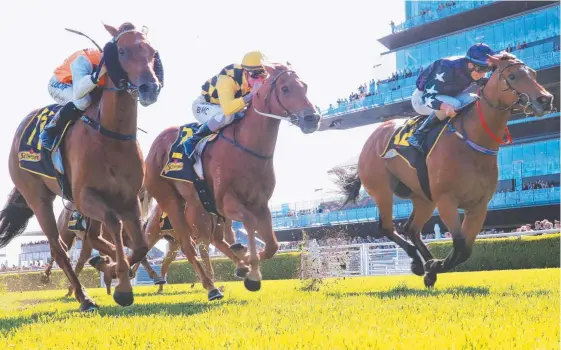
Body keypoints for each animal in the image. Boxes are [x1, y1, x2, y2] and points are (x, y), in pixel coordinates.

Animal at [0, 23, 162, 310]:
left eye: (152, 52)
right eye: (122, 51)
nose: (149, 88)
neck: (111, 136)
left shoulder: (129, 199)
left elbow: (140, 245)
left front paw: (114, 271)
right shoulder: (85, 196)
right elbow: (115, 227)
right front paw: (121, 285)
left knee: (91, 239)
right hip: (38, 198)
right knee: (58, 248)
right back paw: (84, 297)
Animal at [144, 63, 320, 296]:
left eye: (305, 86)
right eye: (284, 89)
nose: (312, 118)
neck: (246, 148)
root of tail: (154, 147)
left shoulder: (260, 204)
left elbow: (272, 245)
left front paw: (245, 264)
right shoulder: (226, 202)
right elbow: (249, 223)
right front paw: (250, 270)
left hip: (198, 207)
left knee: (211, 240)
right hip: (172, 203)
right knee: (189, 246)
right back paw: (210, 287)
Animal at [332, 53, 552, 286]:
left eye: (533, 74)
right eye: (512, 76)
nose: (545, 100)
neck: (471, 141)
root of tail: (371, 138)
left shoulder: (479, 206)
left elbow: (465, 249)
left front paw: (433, 267)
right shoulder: (446, 200)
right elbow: (459, 243)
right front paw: (434, 265)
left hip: (424, 198)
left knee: (411, 229)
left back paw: (424, 264)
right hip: (383, 191)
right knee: (387, 228)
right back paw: (417, 262)